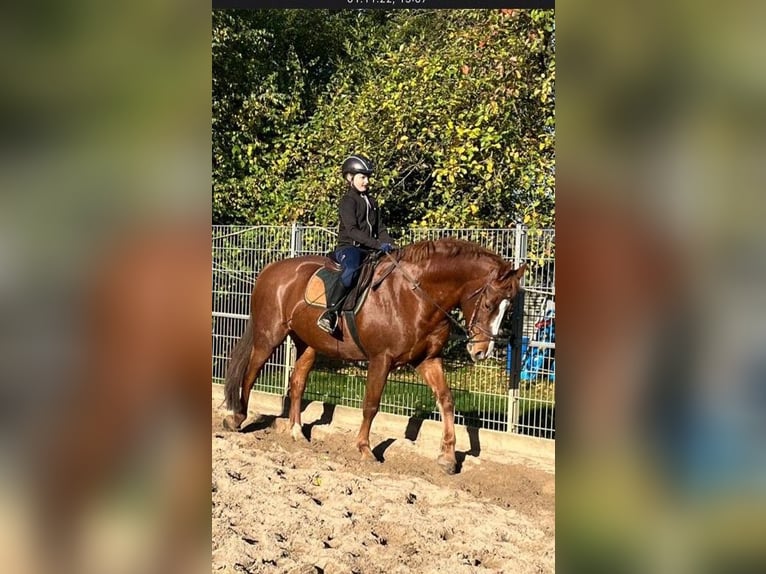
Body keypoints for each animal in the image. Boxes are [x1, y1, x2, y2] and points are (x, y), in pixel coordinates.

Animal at [224, 236, 528, 474]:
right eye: (488, 304)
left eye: (508, 308)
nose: (481, 351)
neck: (416, 296)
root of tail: (271, 269)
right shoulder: (381, 360)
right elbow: (371, 404)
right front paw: (364, 449)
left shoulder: (428, 360)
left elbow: (446, 400)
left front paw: (448, 457)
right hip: (269, 336)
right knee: (251, 373)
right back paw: (236, 418)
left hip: (308, 344)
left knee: (297, 381)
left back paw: (297, 431)